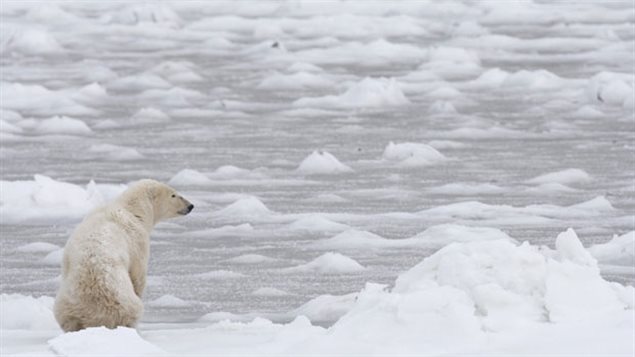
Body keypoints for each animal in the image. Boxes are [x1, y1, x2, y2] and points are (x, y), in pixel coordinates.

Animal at [53, 179, 194, 332]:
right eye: (173, 194)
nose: (190, 206)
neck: (132, 210)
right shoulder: (138, 241)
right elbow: (138, 275)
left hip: (66, 305)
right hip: (123, 301)